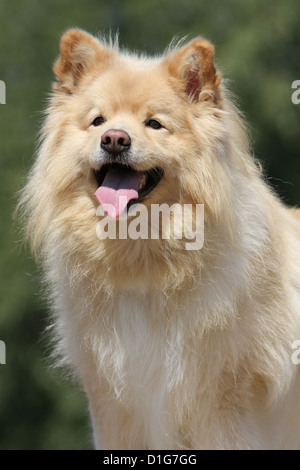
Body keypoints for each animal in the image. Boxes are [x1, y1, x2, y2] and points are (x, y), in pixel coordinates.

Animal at [19, 28, 300, 448]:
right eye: (97, 121)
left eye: (154, 124)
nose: (114, 139)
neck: (144, 259)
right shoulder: (116, 405)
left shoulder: (221, 404)